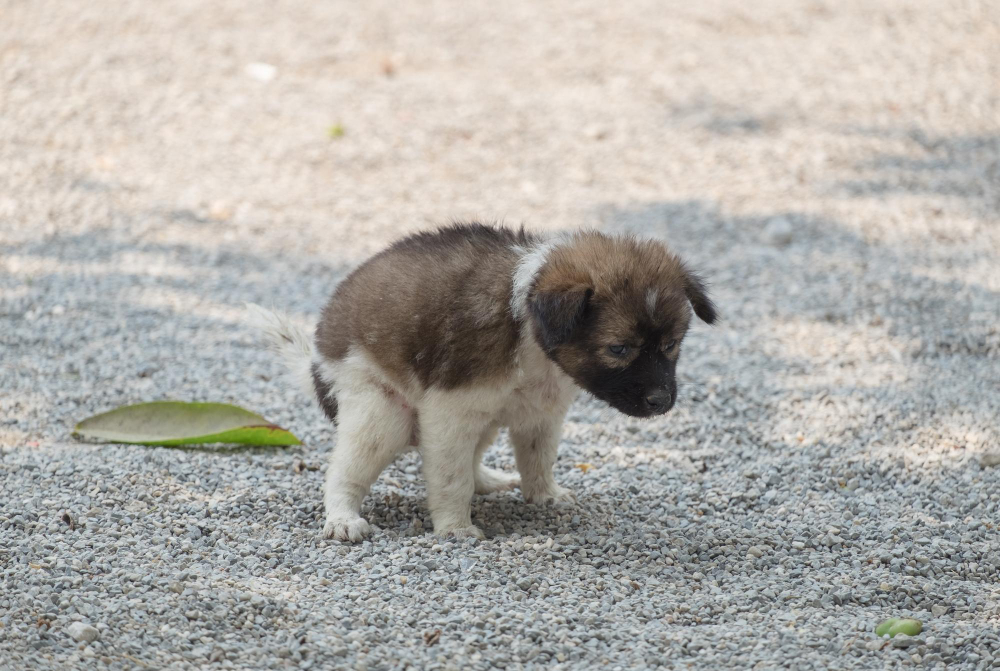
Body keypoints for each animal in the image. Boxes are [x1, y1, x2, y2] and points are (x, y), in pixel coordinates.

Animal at [250, 223, 720, 544]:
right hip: (378, 411)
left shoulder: (543, 412)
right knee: (345, 471)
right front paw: (456, 529)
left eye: (672, 344)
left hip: (485, 419)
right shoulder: (450, 410)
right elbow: (449, 477)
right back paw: (343, 519)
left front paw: (545, 496)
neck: (529, 331)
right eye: (619, 349)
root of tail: (314, 364)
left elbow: (538, 458)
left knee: (472, 457)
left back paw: (488, 479)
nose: (662, 401)